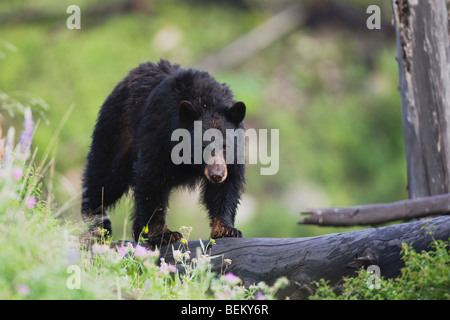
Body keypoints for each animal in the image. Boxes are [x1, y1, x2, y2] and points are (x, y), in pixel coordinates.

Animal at [81, 59, 246, 245]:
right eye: (202, 146)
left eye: (225, 146)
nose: (216, 174)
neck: (204, 101)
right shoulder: (159, 136)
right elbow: (151, 180)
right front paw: (163, 234)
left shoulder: (232, 159)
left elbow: (226, 188)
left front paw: (226, 229)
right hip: (117, 130)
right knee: (105, 178)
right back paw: (95, 227)